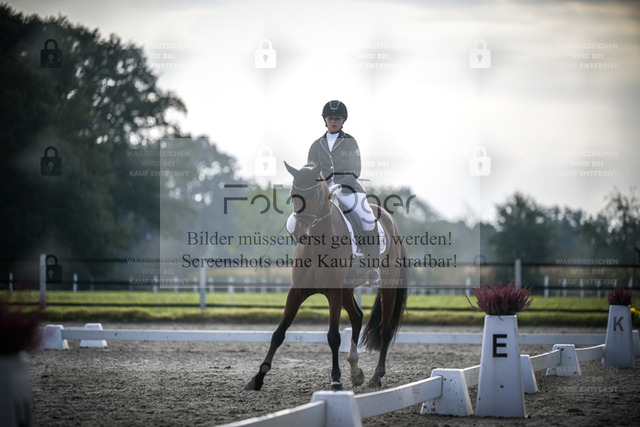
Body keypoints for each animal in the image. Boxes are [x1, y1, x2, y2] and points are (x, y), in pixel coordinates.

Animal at [244, 162, 409, 392]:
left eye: (314, 195)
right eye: (293, 194)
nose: (301, 234)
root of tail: (390, 219)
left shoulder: (333, 293)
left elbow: (333, 337)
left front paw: (336, 380)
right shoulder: (297, 291)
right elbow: (278, 334)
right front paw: (257, 378)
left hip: (386, 286)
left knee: (385, 329)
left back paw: (376, 376)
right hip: (347, 289)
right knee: (357, 316)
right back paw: (356, 371)